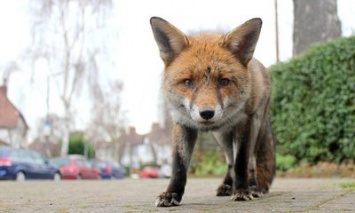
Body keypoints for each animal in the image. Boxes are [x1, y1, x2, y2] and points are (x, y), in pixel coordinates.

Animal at [152, 16, 276, 206]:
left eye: (223, 81)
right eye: (188, 82)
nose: (206, 113)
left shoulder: (243, 122)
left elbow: (241, 161)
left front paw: (242, 190)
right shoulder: (182, 123)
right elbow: (179, 165)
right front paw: (172, 193)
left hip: (254, 127)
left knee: (250, 161)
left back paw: (253, 187)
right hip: (221, 136)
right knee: (230, 161)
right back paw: (227, 185)